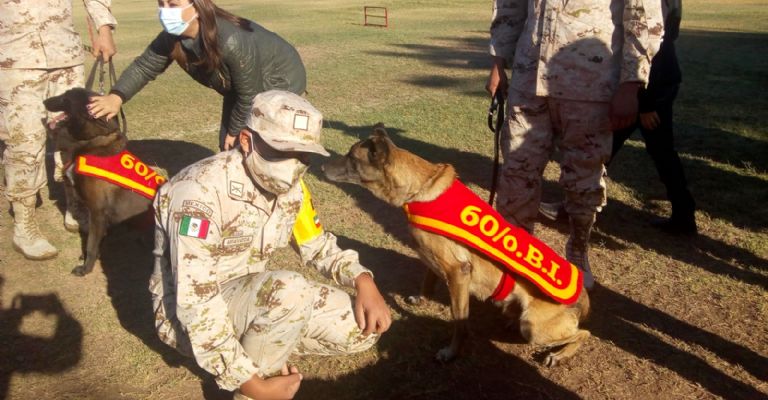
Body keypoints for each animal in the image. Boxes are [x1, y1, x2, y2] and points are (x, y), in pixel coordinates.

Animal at [44, 88, 157, 276]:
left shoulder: (97, 211)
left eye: (65, 97)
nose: (44, 101)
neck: (90, 141)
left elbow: (91, 243)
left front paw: (86, 268)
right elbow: (97, 241)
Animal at [323, 124, 590, 366]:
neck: (419, 189)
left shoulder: (458, 273)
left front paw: (452, 352)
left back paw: (559, 355)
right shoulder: (433, 259)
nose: (323, 165)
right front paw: (421, 299)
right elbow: (427, 280)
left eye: (351, 157)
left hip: (533, 327)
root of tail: (584, 299)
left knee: (583, 334)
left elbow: (459, 323)